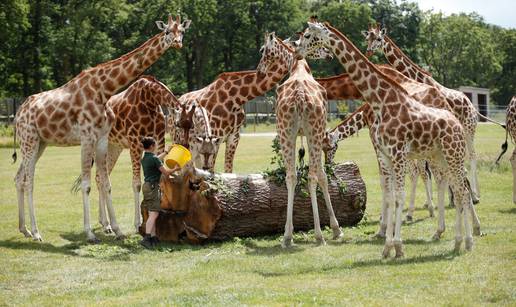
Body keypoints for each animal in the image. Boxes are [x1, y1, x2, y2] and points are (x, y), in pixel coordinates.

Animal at [13, 15, 192, 243]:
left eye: (182, 32)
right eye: (168, 31)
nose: (178, 43)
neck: (104, 89)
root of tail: (18, 114)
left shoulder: (102, 139)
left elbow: (105, 183)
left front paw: (116, 229)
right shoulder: (87, 138)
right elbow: (87, 184)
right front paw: (90, 233)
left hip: (40, 143)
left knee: (19, 178)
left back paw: (24, 229)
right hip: (29, 139)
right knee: (28, 181)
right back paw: (36, 232)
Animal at [256, 31, 340, 248]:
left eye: (263, 50)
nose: (259, 71)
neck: (298, 66)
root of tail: (301, 97)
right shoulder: (318, 134)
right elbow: (323, 176)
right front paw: (336, 229)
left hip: (286, 132)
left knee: (292, 176)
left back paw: (287, 236)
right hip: (313, 132)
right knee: (311, 176)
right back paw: (318, 235)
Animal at [296, 20, 482, 258]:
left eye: (307, 35)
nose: (297, 51)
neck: (380, 101)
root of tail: (456, 118)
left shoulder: (396, 152)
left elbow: (397, 194)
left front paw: (396, 244)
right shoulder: (386, 154)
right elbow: (392, 193)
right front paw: (387, 245)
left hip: (455, 153)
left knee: (463, 188)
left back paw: (468, 237)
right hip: (440, 156)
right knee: (456, 189)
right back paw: (457, 240)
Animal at [362, 23, 508, 202]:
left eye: (378, 38)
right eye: (367, 38)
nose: (368, 52)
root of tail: (473, 108)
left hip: (469, 128)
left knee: (472, 155)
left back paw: (475, 195)